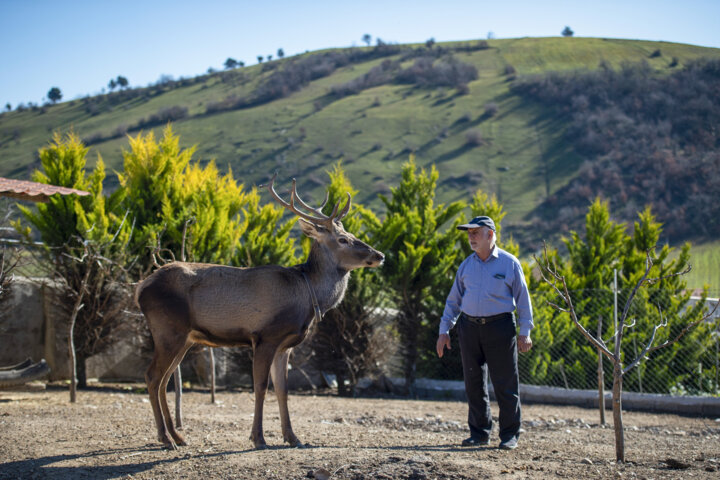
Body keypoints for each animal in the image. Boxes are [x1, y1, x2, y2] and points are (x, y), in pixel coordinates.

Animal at [135, 173, 382, 450]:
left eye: (350, 233)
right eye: (343, 239)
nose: (379, 255)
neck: (307, 295)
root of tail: (140, 288)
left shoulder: (286, 345)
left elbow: (283, 390)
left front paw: (293, 437)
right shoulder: (265, 336)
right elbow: (261, 387)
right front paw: (258, 438)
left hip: (185, 339)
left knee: (165, 380)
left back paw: (177, 436)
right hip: (168, 330)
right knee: (152, 376)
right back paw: (166, 438)